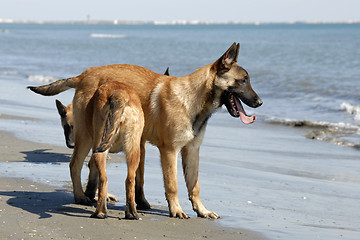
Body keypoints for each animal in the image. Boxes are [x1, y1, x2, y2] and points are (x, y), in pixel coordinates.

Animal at [28, 43, 262, 219]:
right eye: (243, 80)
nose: (259, 102)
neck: (192, 99)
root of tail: (85, 74)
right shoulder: (169, 152)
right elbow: (173, 184)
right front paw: (176, 210)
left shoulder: (191, 151)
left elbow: (194, 186)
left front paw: (201, 210)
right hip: (86, 137)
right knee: (76, 164)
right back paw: (81, 196)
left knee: (95, 166)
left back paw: (97, 198)